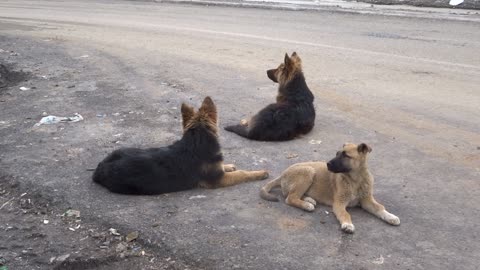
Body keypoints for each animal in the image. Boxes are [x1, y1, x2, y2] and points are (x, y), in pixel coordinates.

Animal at [92, 96, 268, 194]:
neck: (197, 139)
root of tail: (99, 168)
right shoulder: (218, 180)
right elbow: (242, 174)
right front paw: (259, 173)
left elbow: (226, 167)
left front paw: (229, 165)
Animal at [260, 142, 400, 233]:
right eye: (337, 154)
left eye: (345, 155)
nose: (327, 164)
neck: (355, 180)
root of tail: (282, 174)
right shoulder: (339, 203)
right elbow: (345, 214)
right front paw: (348, 225)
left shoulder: (367, 201)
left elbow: (379, 208)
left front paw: (391, 217)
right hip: (308, 171)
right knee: (290, 198)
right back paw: (307, 205)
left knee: (293, 195)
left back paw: (309, 199)